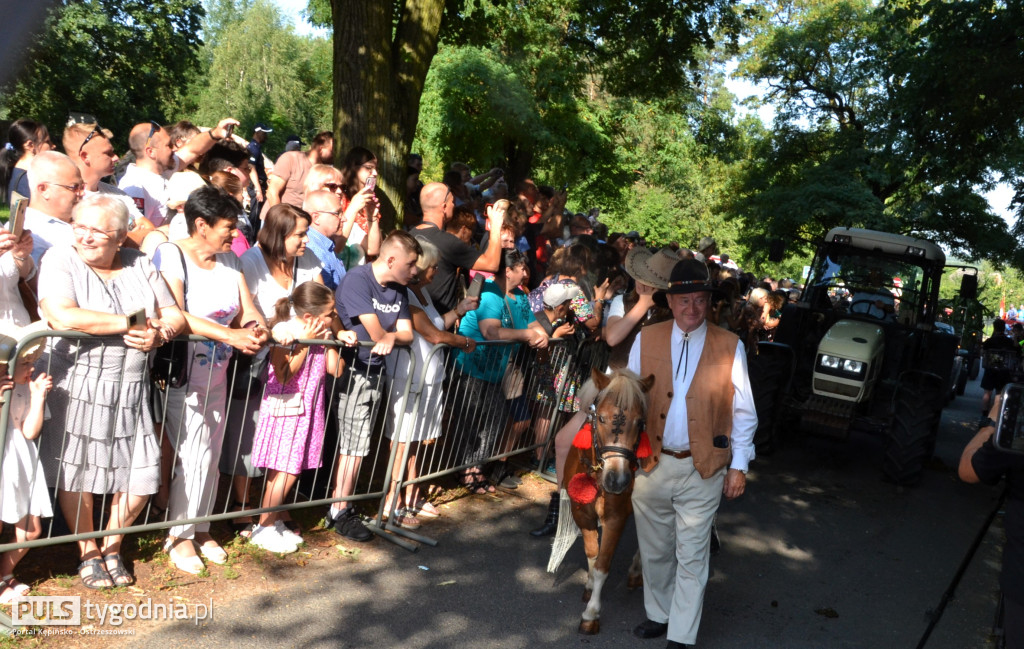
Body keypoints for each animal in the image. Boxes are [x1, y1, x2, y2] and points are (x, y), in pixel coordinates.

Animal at [561, 368, 655, 630]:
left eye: (640, 422)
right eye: (601, 418)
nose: (617, 480)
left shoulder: (615, 518)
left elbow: (603, 564)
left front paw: (591, 613)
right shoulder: (582, 514)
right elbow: (592, 554)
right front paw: (589, 584)